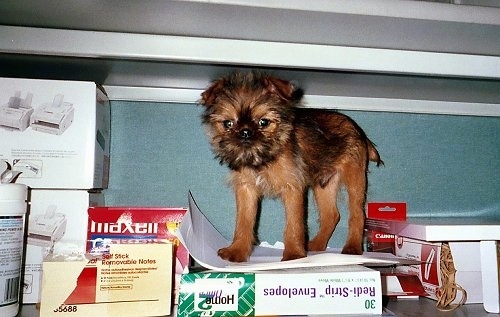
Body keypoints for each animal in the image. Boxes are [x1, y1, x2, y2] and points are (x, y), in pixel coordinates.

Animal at [200, 71, 382, 262]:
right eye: (228, 124)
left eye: (263, 122)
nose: (245, 133)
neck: (265, 158)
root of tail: (358, 130)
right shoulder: (246, 189)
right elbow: (243, 222)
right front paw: (237, 250)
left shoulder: (292, 188)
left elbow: (294, 225)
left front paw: (294, 255)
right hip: (324, 184)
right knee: (331, 215)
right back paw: (316, 245)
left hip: (355, 178)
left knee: (357, 214)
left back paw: (352, 247)